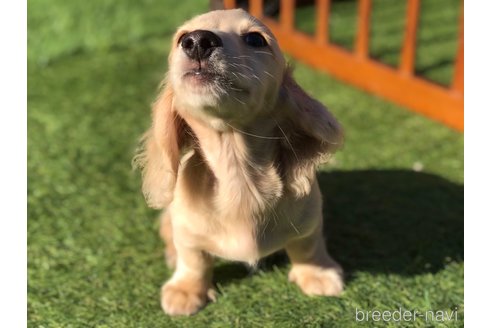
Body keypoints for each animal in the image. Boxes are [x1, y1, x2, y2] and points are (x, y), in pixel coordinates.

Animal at [133, 7, 344, 316]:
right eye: (182, 37)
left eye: (256, 39)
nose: (197, 41)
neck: (238, 173)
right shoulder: (187, 231)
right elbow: (193, 259)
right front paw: (186, 290)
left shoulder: (309, 219)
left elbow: (308, 246)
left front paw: (317, 274)